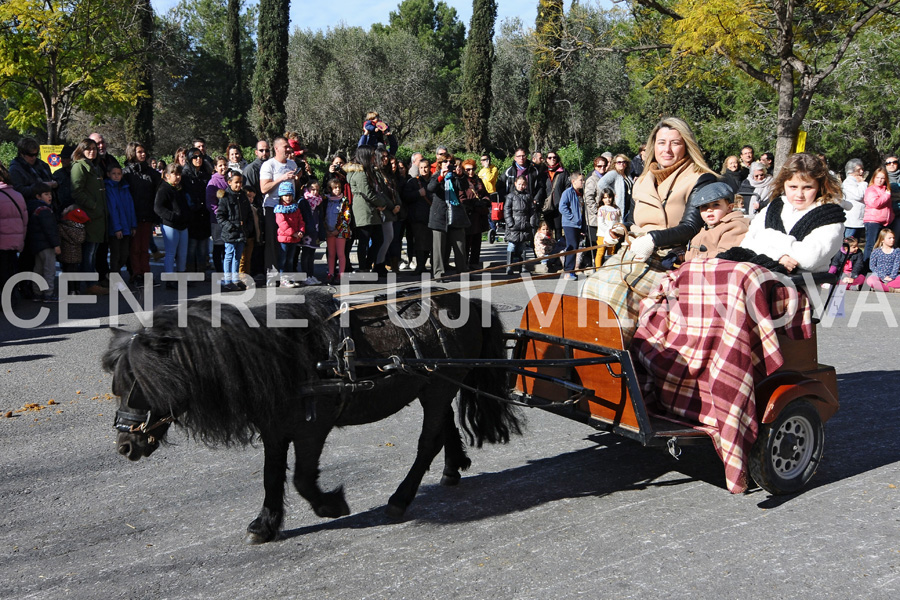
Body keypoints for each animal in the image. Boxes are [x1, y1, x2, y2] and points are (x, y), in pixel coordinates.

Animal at [100, 290, 520, 544]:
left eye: (144, 384)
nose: (125, 445)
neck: (283, 358)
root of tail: (468, 302)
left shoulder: (310, 429)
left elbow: (302, 479)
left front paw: (331, 505)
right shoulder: (274, 430)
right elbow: (272, 476)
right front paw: (265, 524)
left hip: (435, 390)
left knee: (427, 442)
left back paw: (401, 498)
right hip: (433, 386)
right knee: (444, 425)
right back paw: (453, 466)